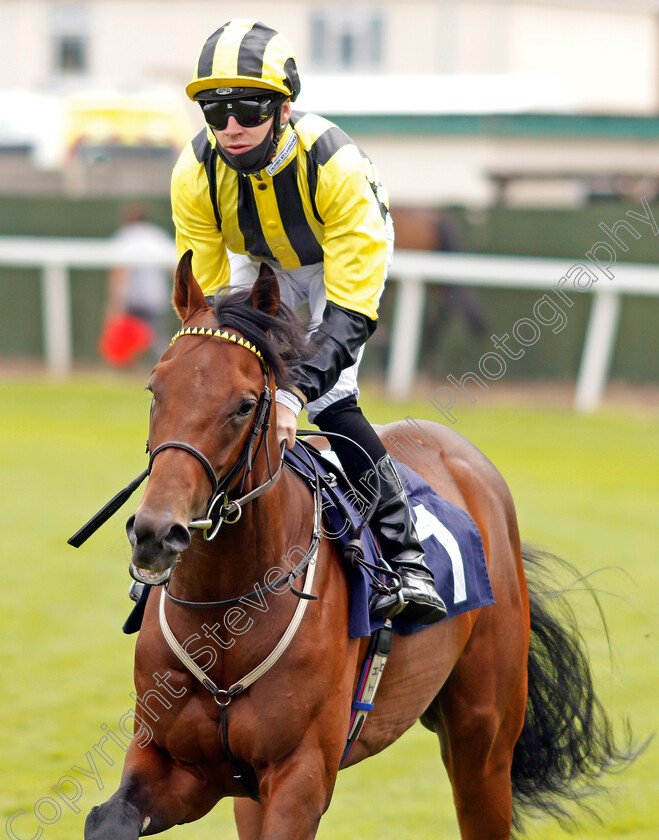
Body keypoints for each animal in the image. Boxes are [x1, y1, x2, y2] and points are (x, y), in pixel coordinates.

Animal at [85, 253, 632, 836]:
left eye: (245, 404)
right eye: (155, 389)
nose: (155, 532)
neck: (227, 613)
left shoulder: (301, 775)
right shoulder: (178, 763)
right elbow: (107, 818)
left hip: (483, 737)